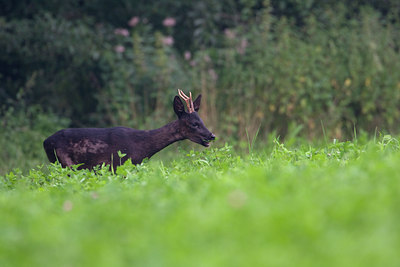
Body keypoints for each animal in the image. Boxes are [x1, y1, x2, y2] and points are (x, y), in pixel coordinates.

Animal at [43, 89, 216, 171]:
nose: (211, 135)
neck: (142, 147)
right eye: (194, 123)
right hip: (64, 163)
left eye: (201, 120)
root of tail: (45, 141)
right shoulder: (118, 164)